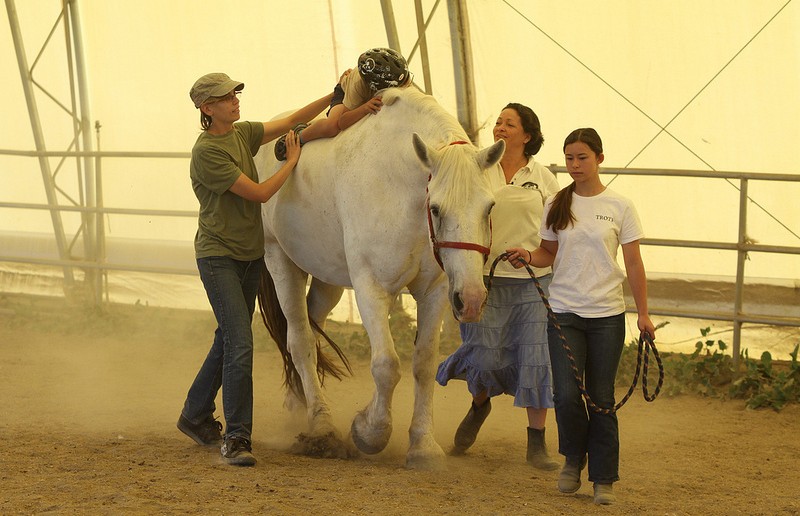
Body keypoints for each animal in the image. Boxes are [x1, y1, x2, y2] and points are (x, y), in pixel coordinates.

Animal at [255, 86, 504, 469]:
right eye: (437, 209)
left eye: (489, 207)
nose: (473, 300)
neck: (402, 187)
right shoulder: (371, 289)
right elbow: (387, 365)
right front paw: (369, 432)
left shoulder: (435, 292)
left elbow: (423, 364)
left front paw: (423, 445)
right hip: (281, 261)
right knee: (299, 340)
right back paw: (322, 425)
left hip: (328, 279)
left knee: (311, 328)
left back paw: (299, 403)